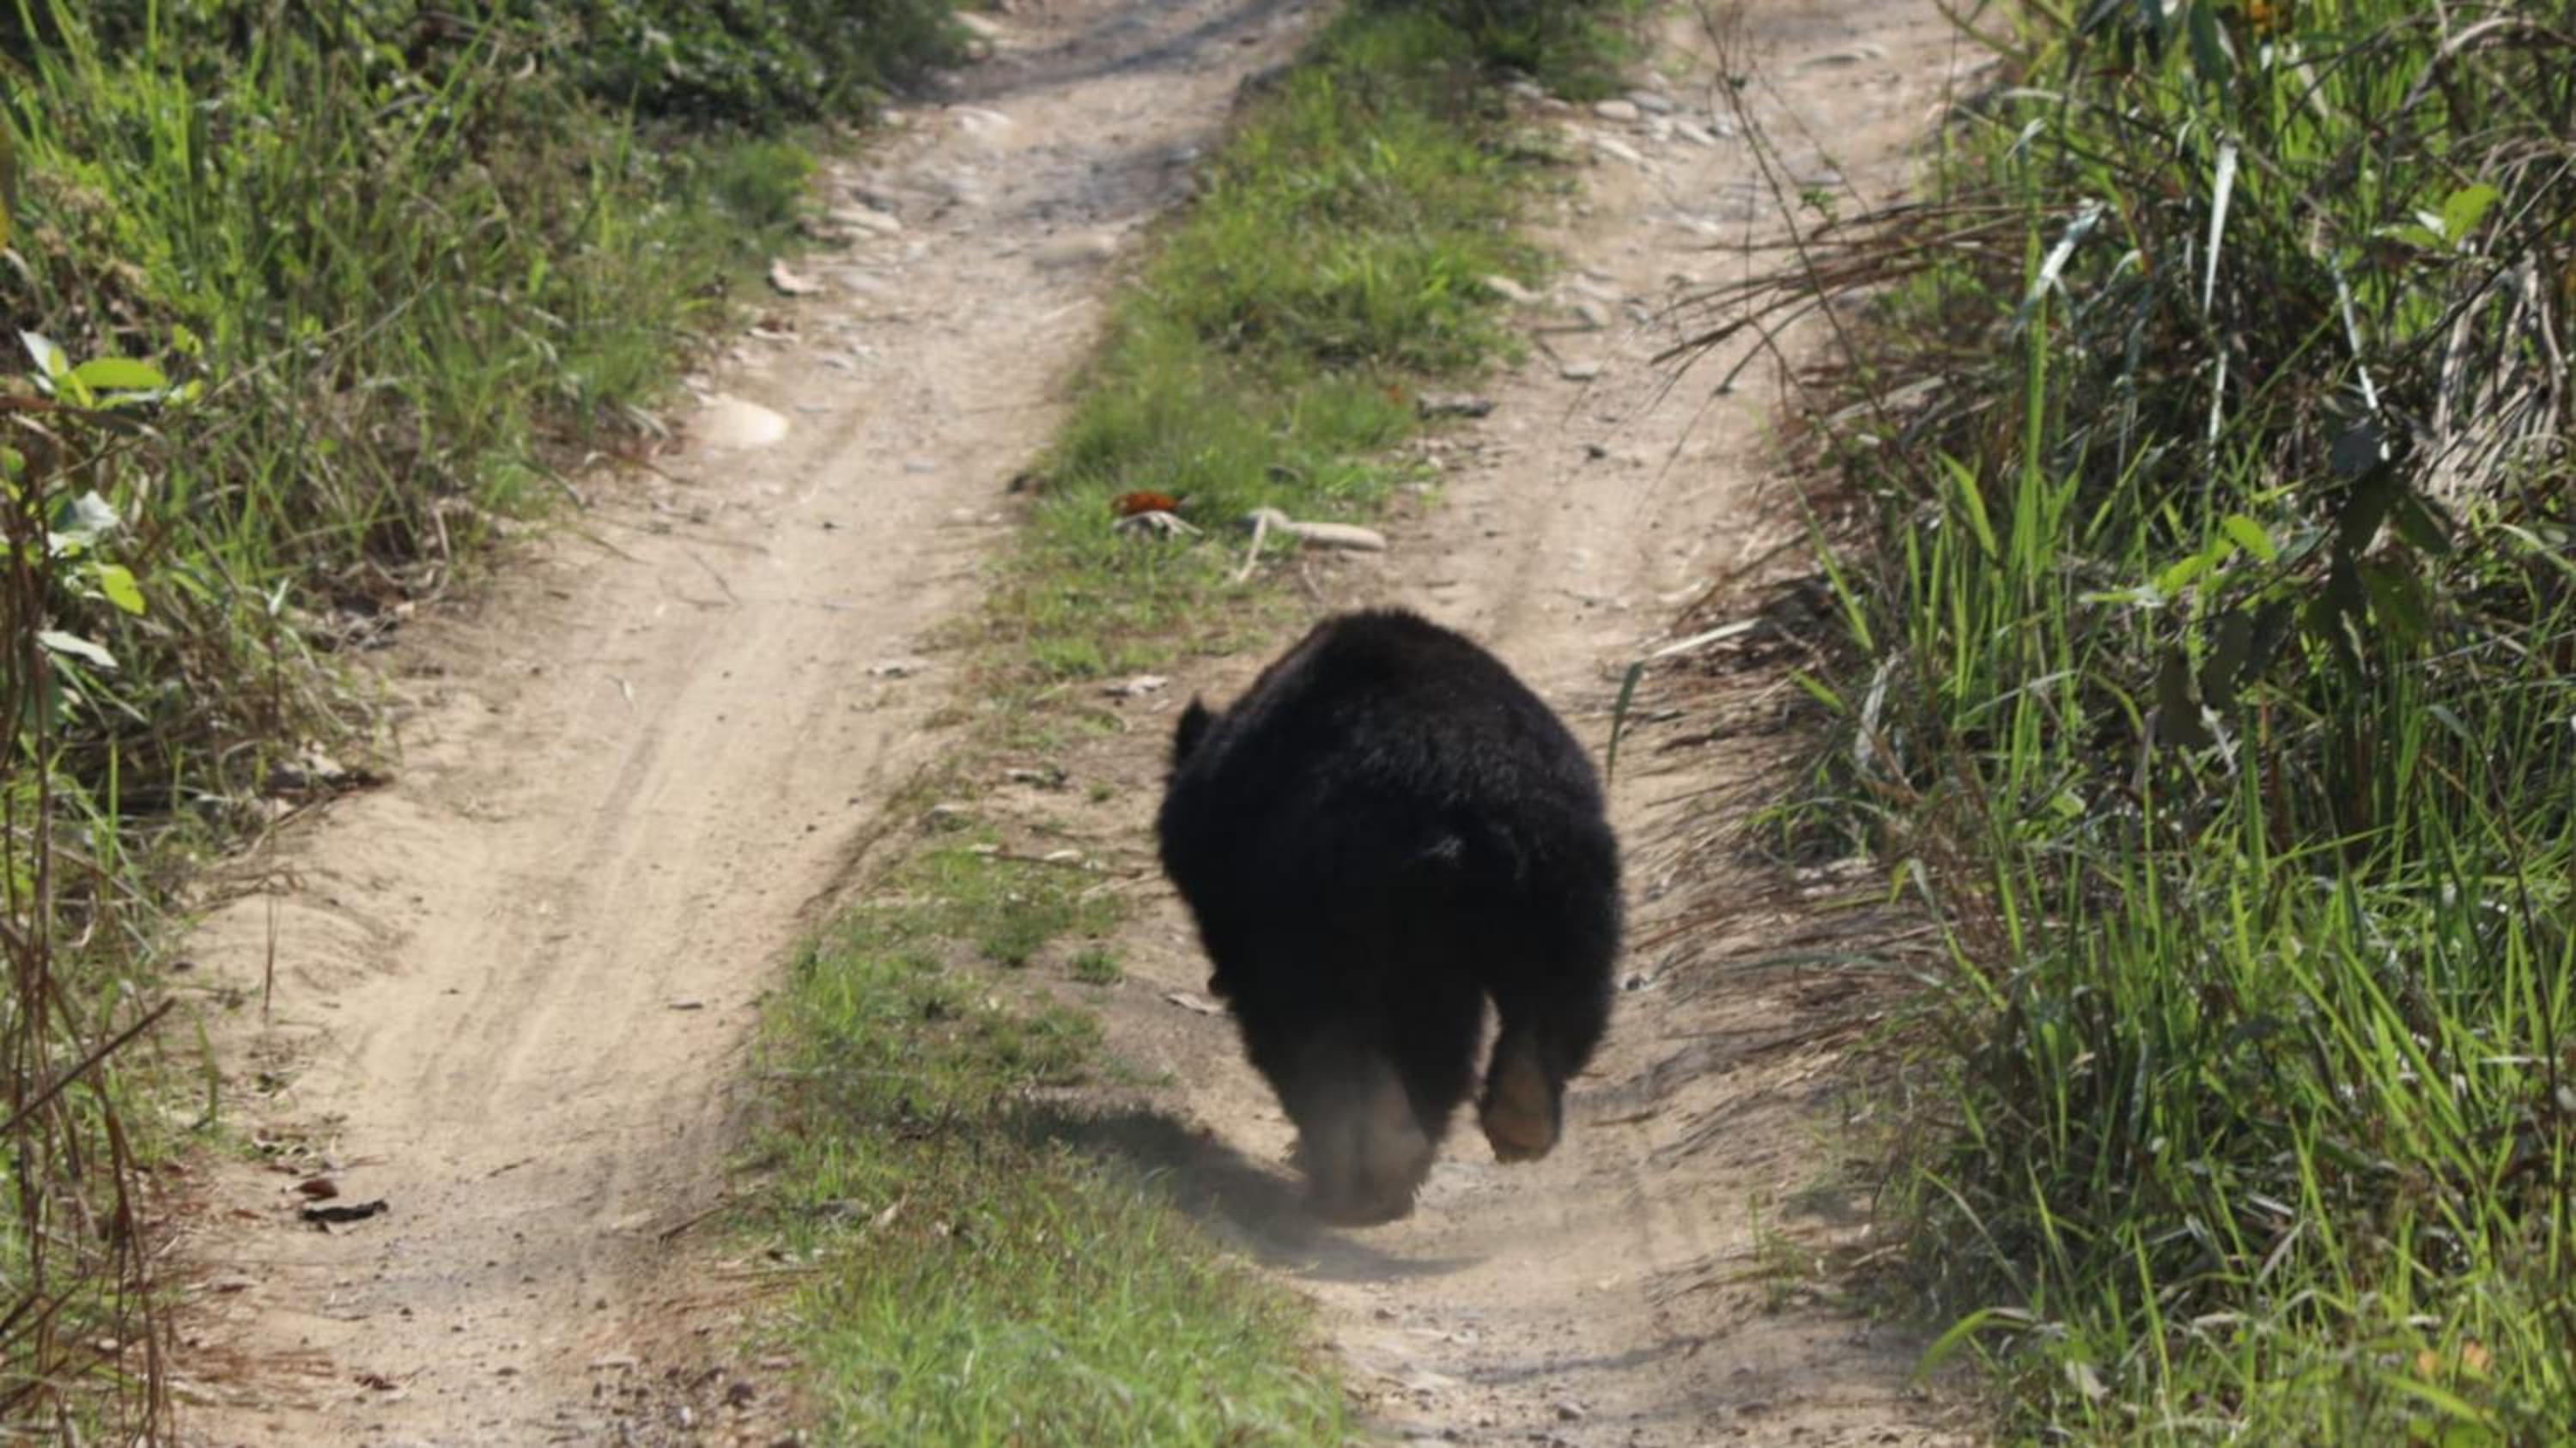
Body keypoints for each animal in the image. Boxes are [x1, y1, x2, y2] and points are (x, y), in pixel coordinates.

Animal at [1156, 608, 1621, 1224]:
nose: (1212, 982)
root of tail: (1466, 802)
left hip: (1351, 904)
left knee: (1338, 1031)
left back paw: (1364, 1171)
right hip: (1566, 873)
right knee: (1558, 996)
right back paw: (1518, 1119)